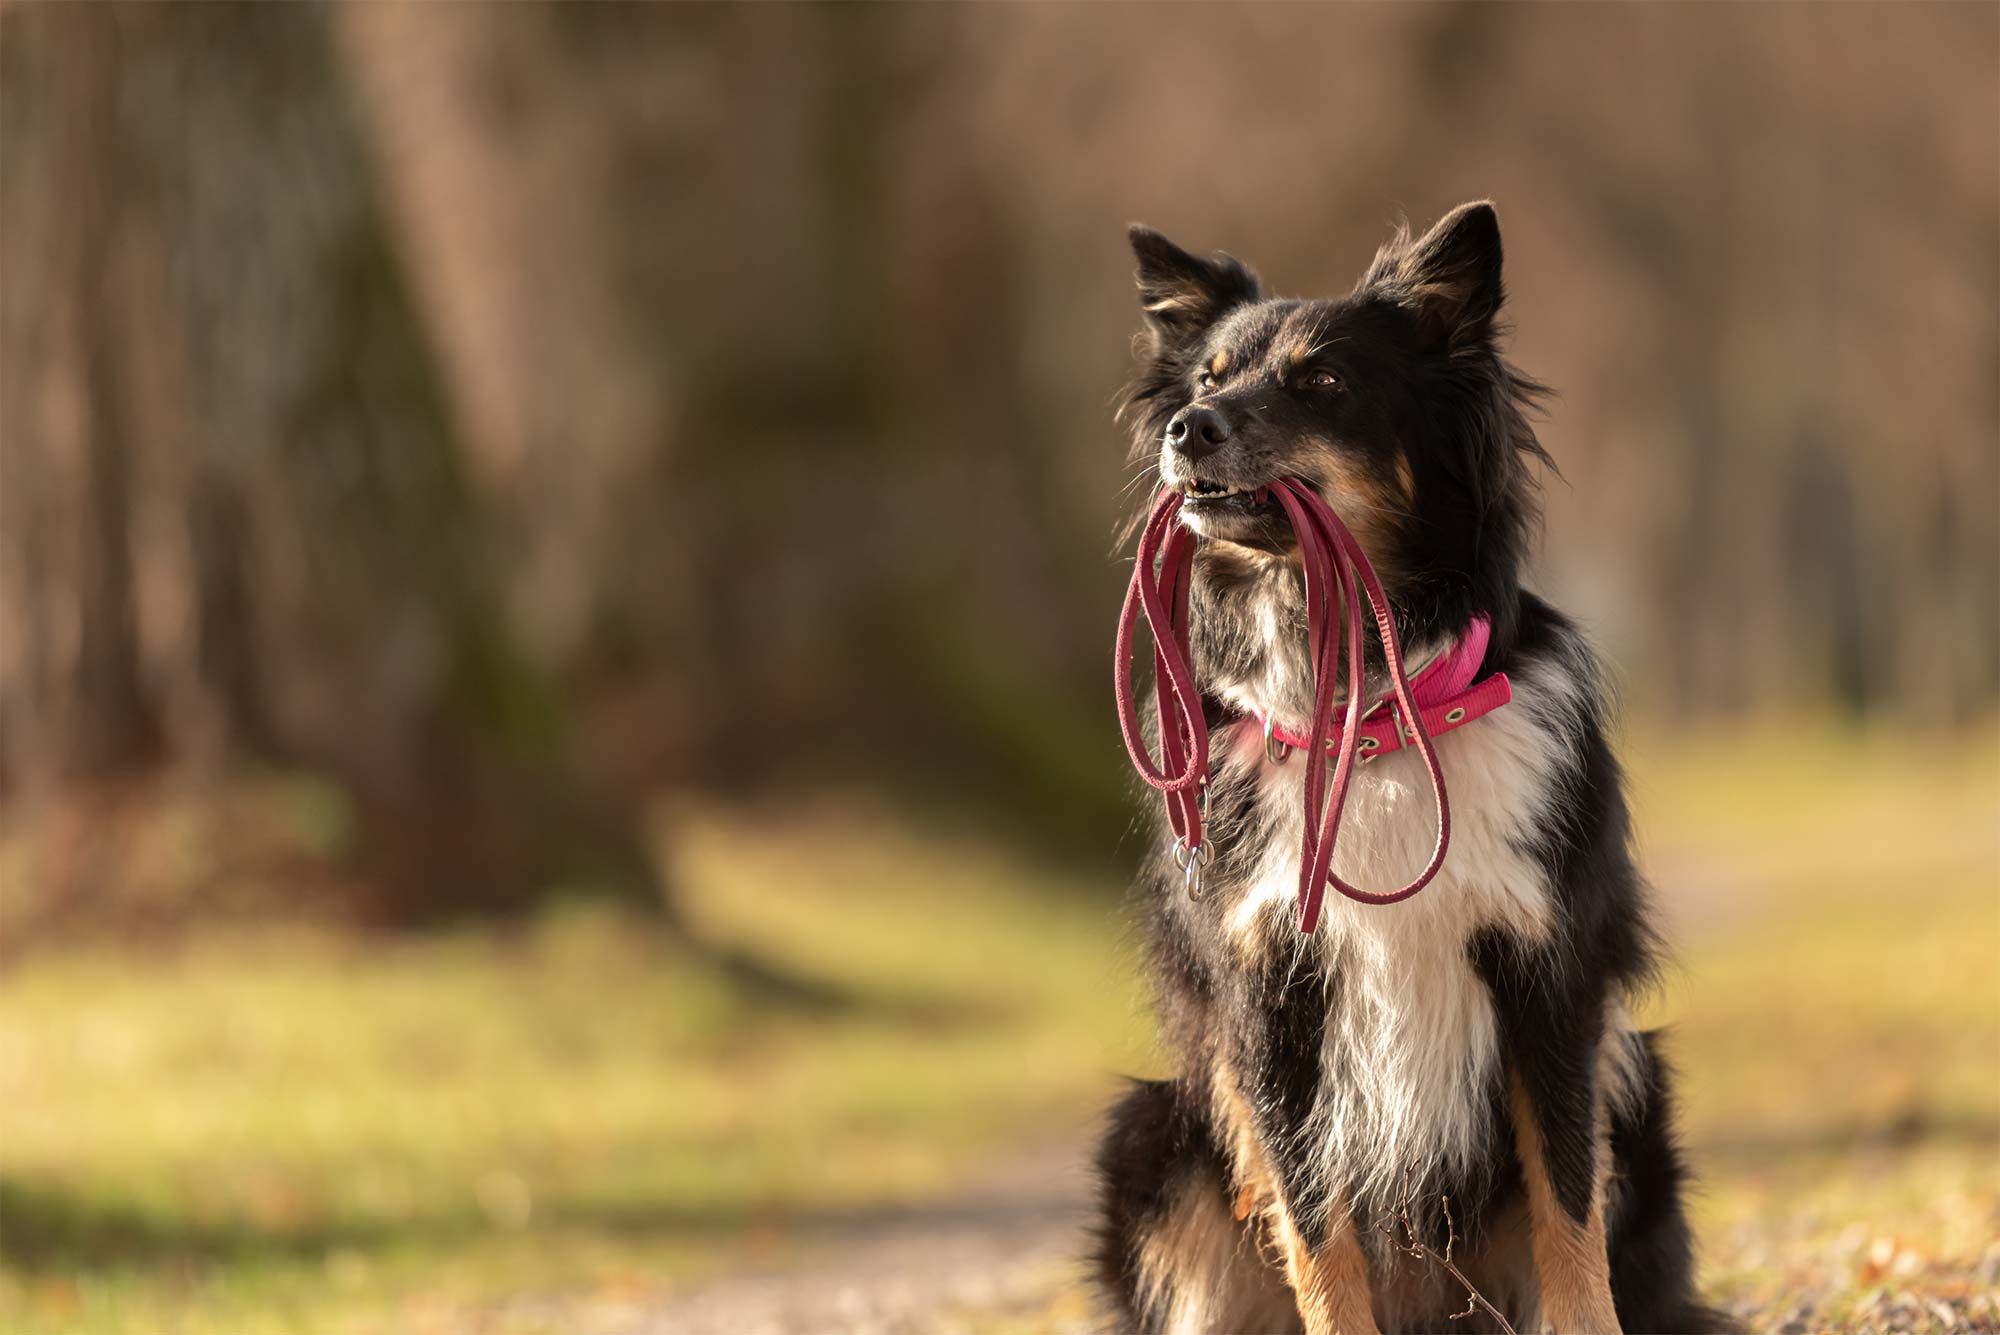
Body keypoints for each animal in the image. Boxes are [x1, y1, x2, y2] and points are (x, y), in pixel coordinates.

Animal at [1096, 200, 1736, 1335]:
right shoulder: (1269, 995)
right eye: (1208, 377)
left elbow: (1568, 1209)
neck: (1372, 723)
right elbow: (1318, 1231)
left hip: (1640, 1084)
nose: (1188, 429)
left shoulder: (1547, 978)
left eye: (1322, 380)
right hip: (1152, 1140)